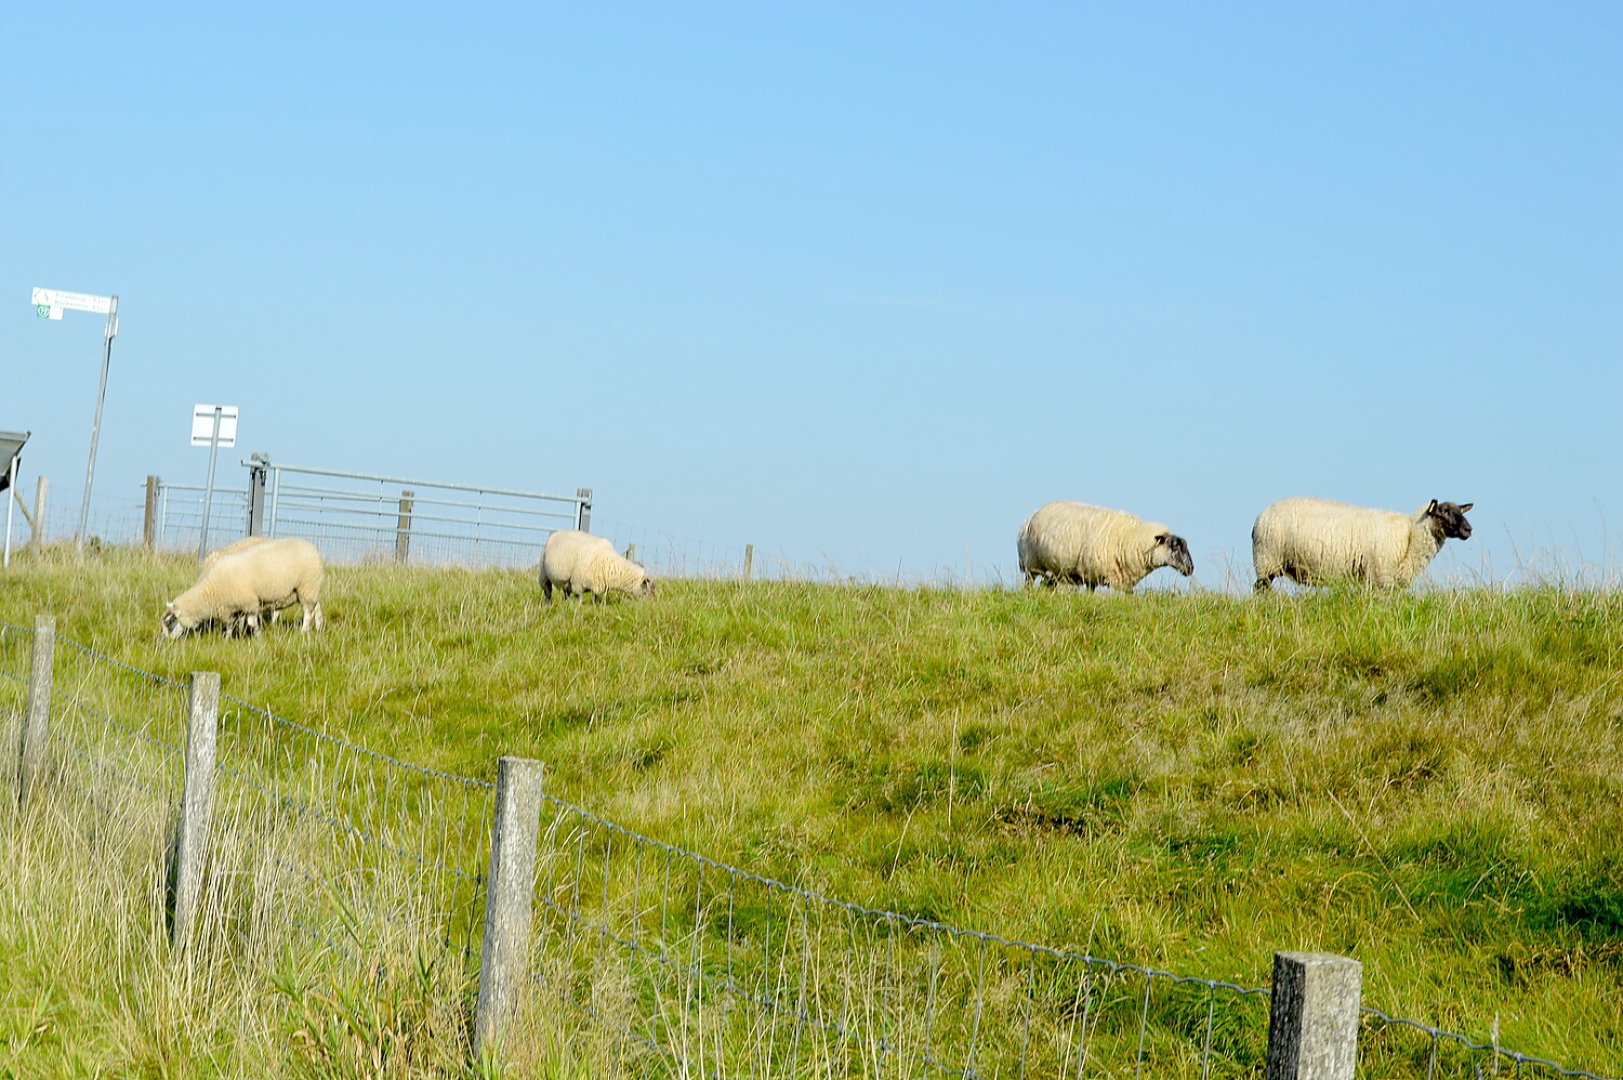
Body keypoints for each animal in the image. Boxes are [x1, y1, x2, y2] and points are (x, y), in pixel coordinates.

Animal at [161, 535, 326, 636]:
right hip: (308, 590)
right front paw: (227, 637)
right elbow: (230, 624)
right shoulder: (231, 607)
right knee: (316, 607)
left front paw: (258, 636)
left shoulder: (249, 602)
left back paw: (304, 630)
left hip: (306, 586)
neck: (210, 591)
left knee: (307, 612)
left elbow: (251, 623)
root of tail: (314, 548)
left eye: (170, 622)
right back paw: (318, 627)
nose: (167, 641)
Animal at [1012, 500, 1194, 594]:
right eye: (1174, 546)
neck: (1131, 539)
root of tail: (1030, 516)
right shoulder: (1090, 572)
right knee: (1029, 583)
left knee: (1046, 585)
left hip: (1053, 570)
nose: (1191, 568)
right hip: (1031, 563)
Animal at [1246, 493, 1480, 591]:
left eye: (1460, 511)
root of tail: (1258, 519)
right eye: (1444, 511)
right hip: (1267, 558)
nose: (1468, 530)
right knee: (1260, 589)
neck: (1410, 536)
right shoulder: (1380, 575)